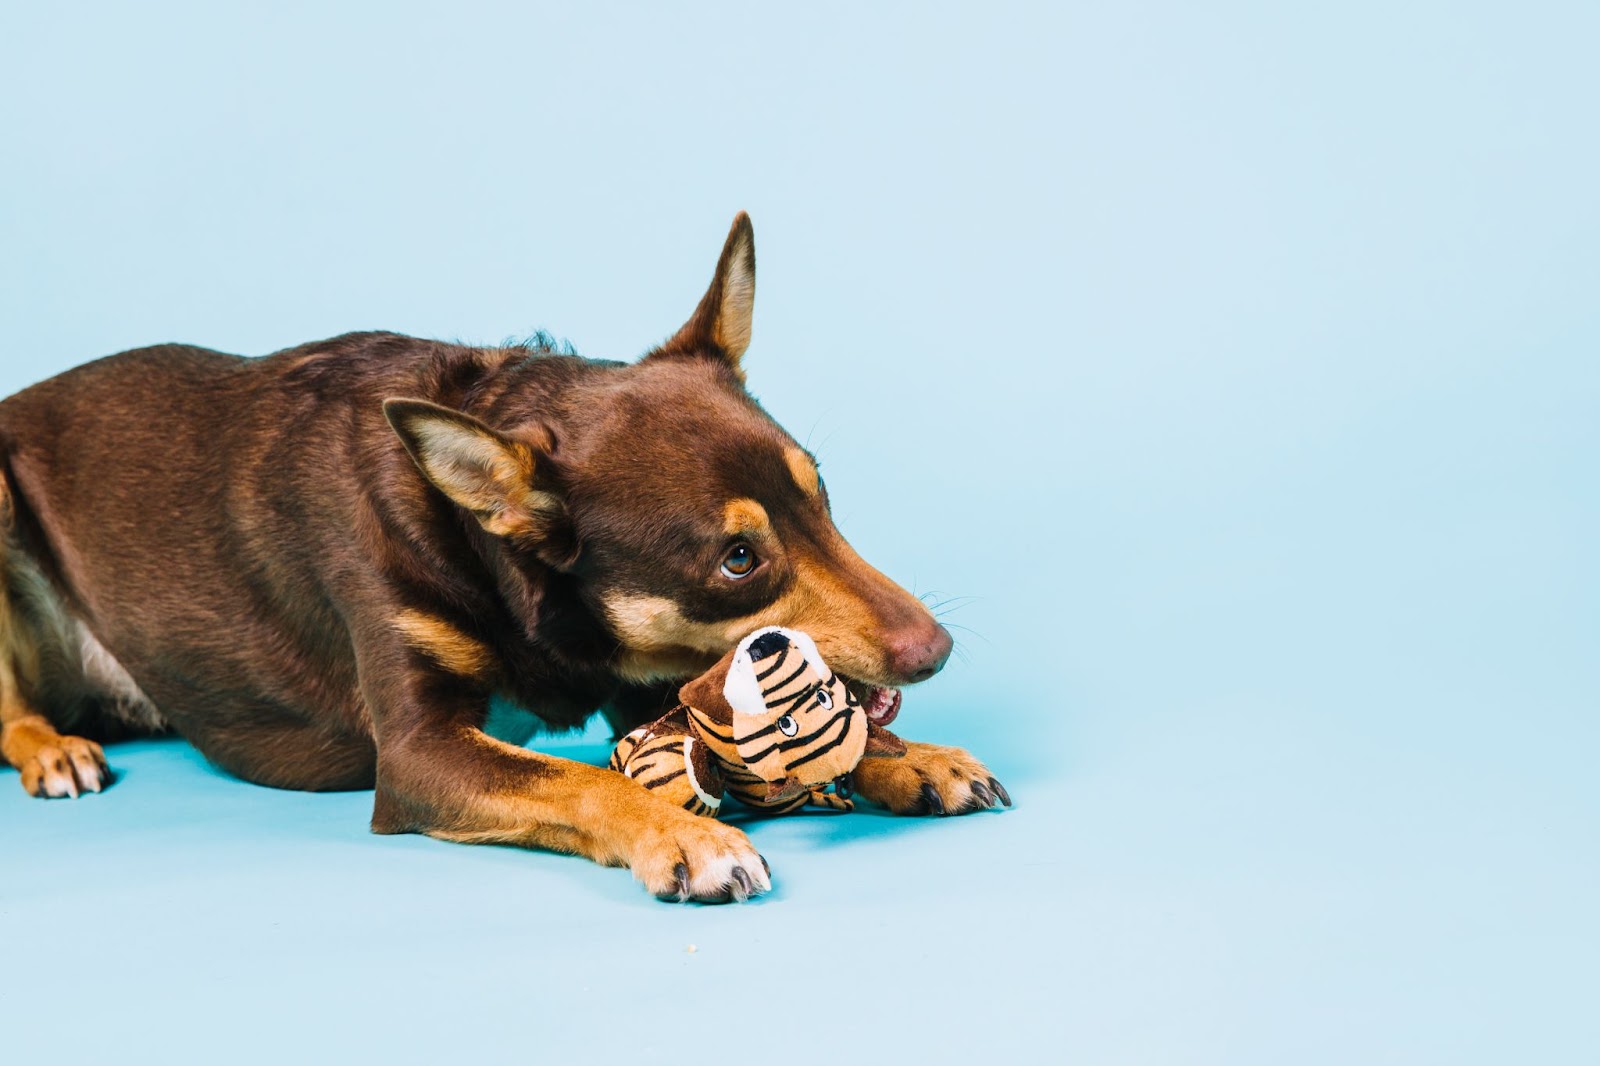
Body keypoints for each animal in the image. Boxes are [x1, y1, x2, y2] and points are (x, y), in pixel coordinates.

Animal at [0, 214, 998, 896]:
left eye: (821, 496)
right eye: (739, 561)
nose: (938, 651)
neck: (490, 557)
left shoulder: (645, 682)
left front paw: (909, 756)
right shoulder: (419, 755)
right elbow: (576, 779)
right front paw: (687, 837)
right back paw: (51, 748)